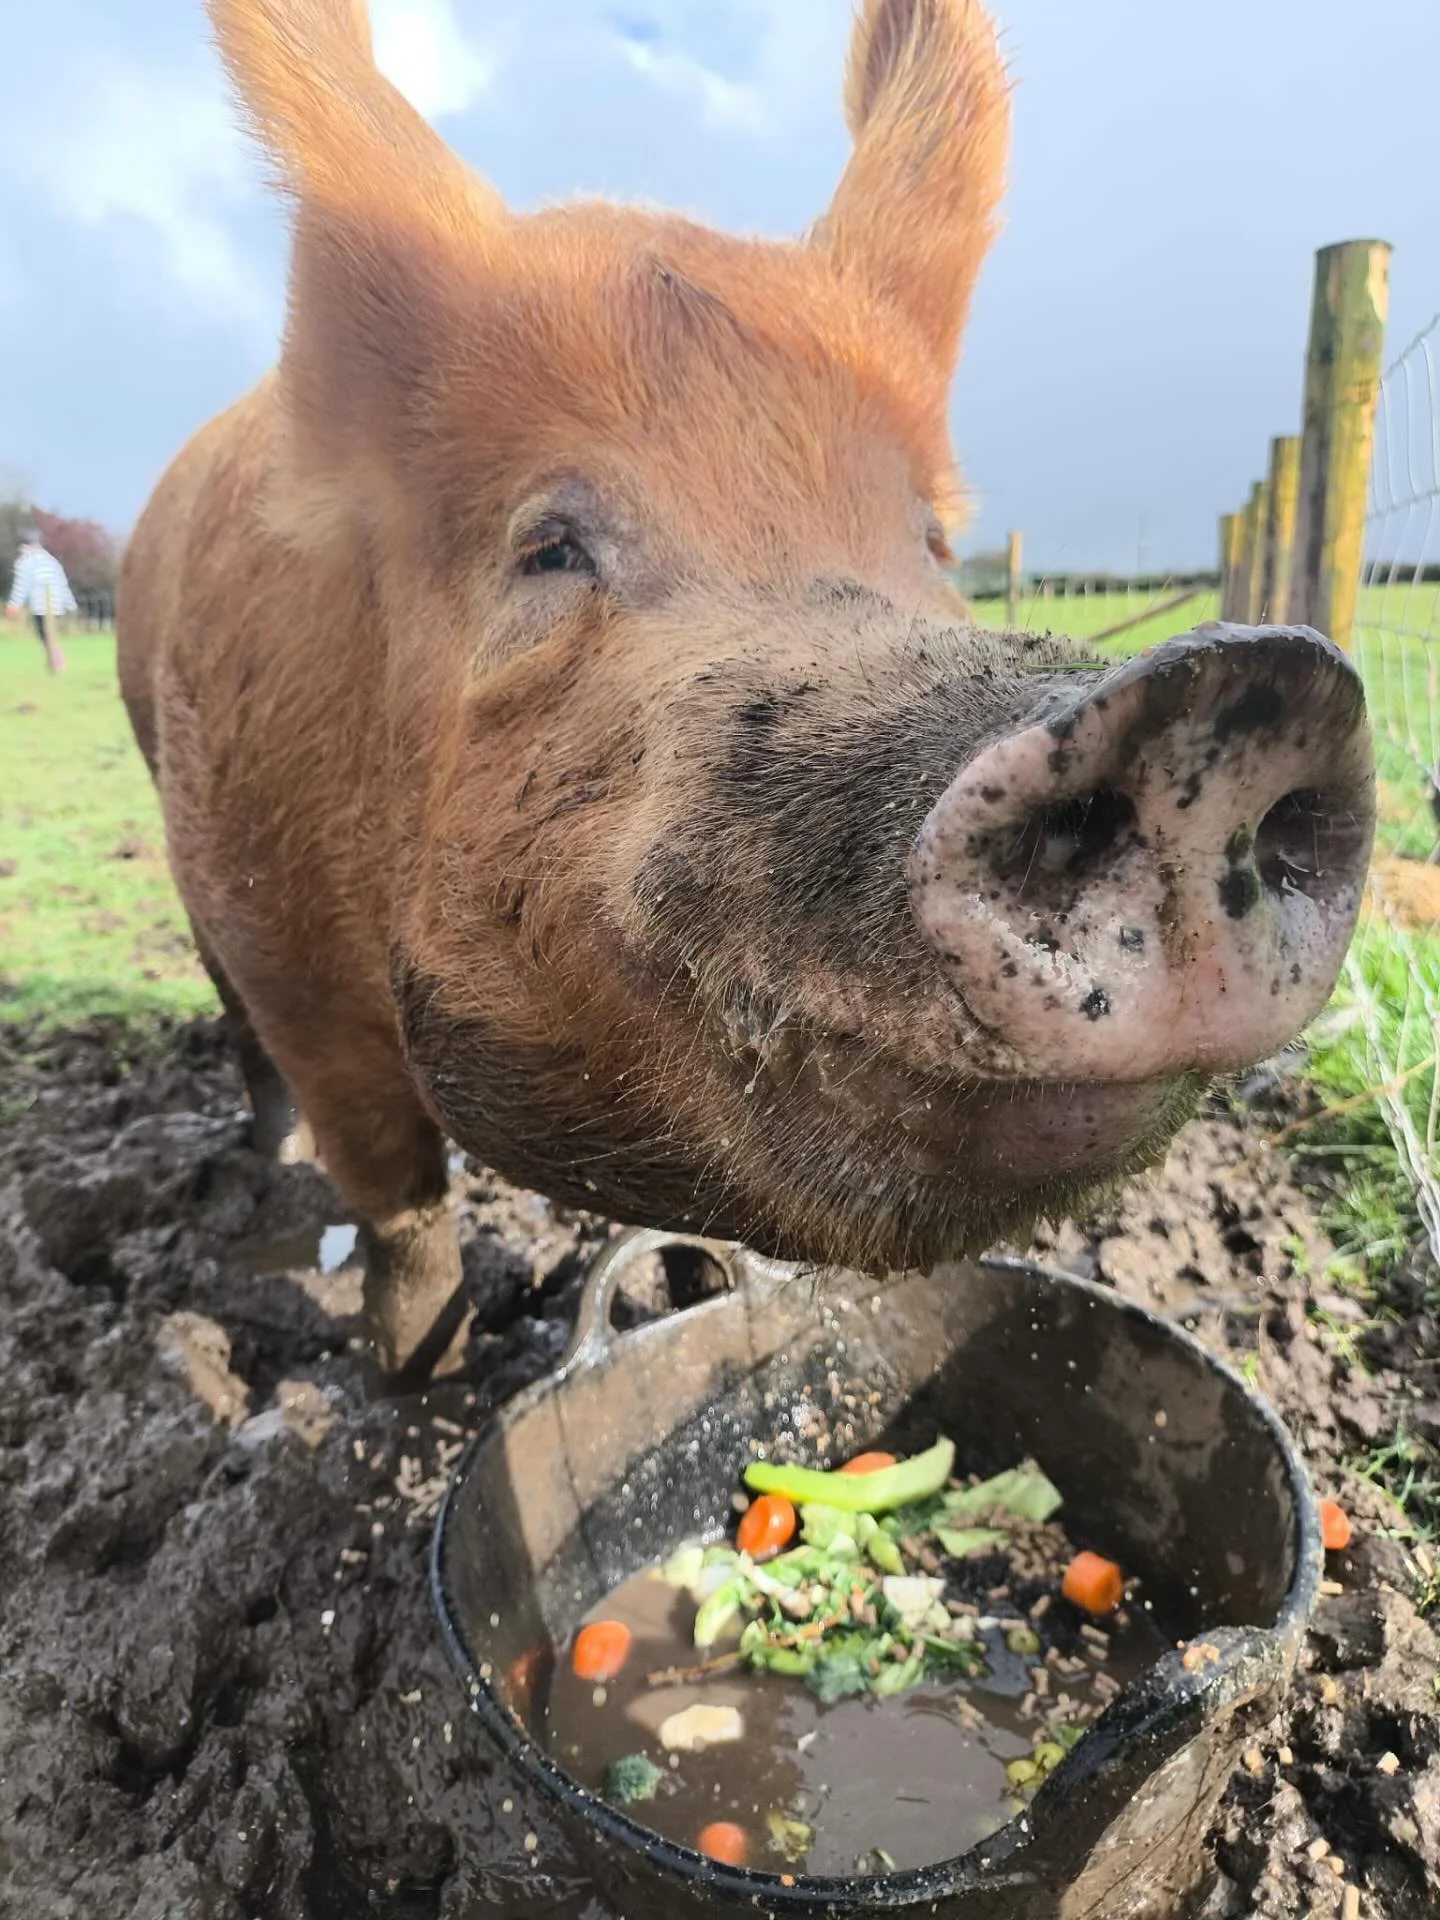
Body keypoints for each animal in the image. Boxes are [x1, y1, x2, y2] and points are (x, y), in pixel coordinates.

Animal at [118, 0, 1376, 1381]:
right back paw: (268, 1154)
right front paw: (418, 1376)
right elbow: (399, 1209)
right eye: (547, 545)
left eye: (931, 540)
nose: (1231, 682)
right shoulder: (278, 940)